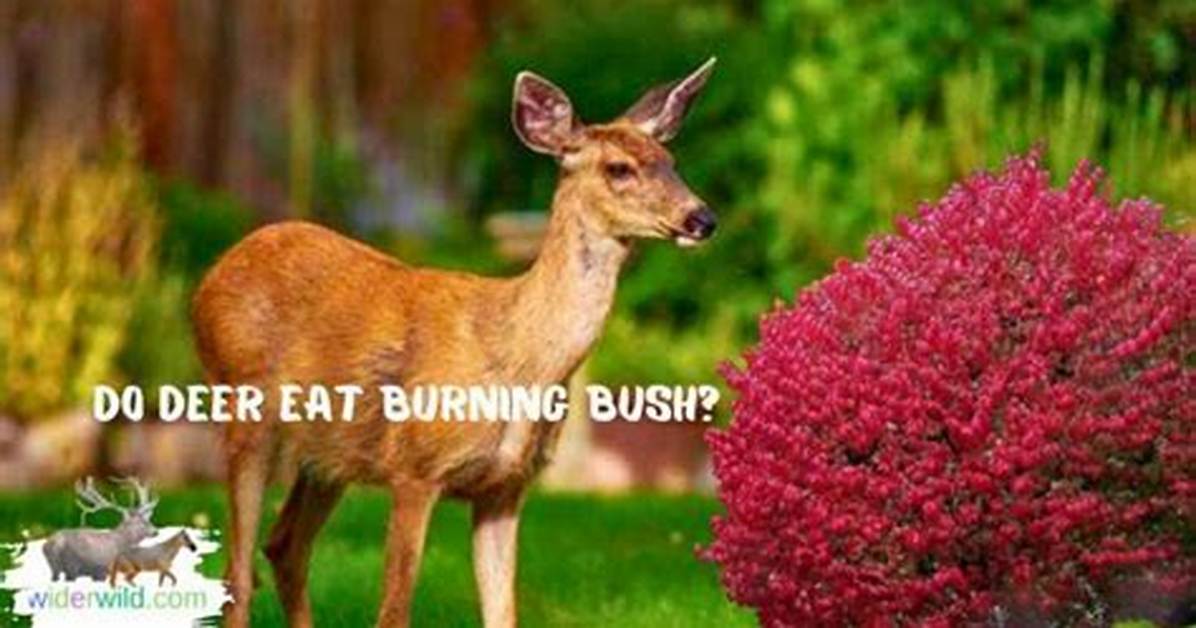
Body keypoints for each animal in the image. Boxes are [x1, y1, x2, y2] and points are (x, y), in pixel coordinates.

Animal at [192, 58, 718, 628]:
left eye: (671, 161)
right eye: (618, 168)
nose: (702, 219)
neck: (518, 358)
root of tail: (210, 279)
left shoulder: (505, 487)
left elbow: (504, 613)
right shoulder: (415, 468)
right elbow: (393, 611)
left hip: (328, 452)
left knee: (285, 546)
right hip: (244, 411)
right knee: (238, 571)